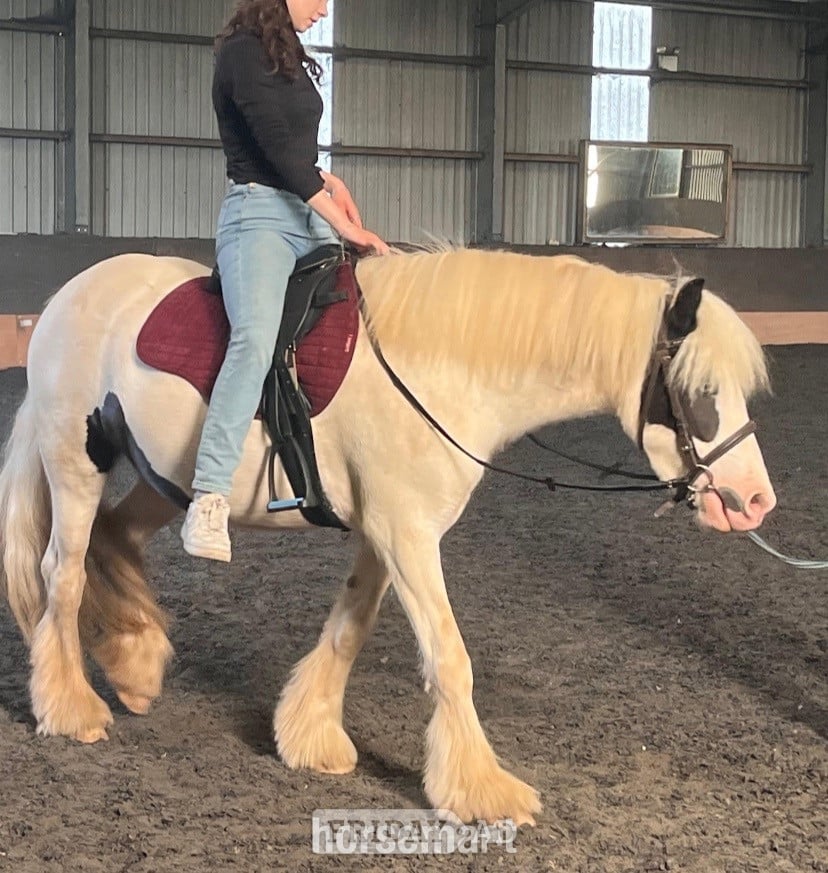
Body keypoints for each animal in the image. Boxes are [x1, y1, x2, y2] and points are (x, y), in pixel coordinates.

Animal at [0, 247, 775, 826]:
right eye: (701, 389)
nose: (753, 502)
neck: (443, 366)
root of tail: (69, 297)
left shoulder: (385, 530)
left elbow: (350, 628)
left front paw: (311, 736)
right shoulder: (407, 536)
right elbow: (450, 657)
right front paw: (482, 789)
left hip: (166, 478)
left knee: (115, 537)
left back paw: (133, 663)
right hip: (76, 463)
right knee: (63, 572)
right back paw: (71, 706)